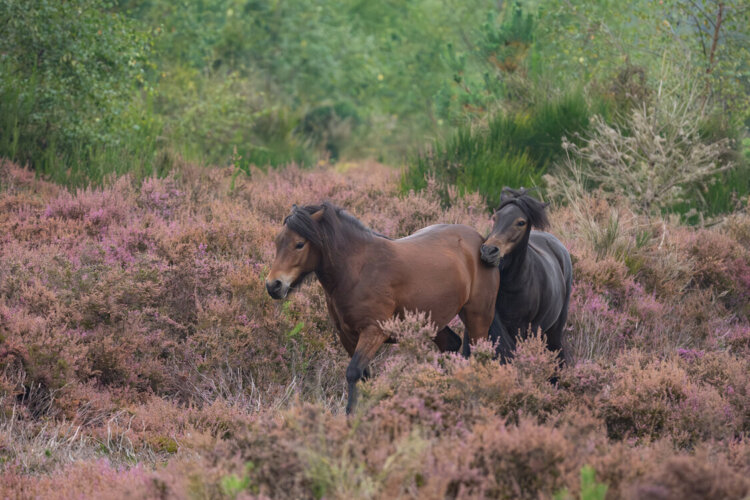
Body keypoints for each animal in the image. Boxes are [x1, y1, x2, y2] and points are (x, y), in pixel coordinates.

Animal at [266, 202, 499, 414]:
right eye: (277, 241)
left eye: (299, 244)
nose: (273, 285)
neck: (358, 270)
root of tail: (481, 241)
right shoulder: (347, 336)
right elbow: (364, 375)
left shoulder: (374, 332)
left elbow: (353, 372)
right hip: (434, 322)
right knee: (451, 345)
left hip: (478, 316)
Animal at [479, 188, 572, 364]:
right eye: (495, 217)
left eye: (521, 222)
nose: (489, 251)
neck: (514, 285)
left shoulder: (526, 330)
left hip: (554, 330)